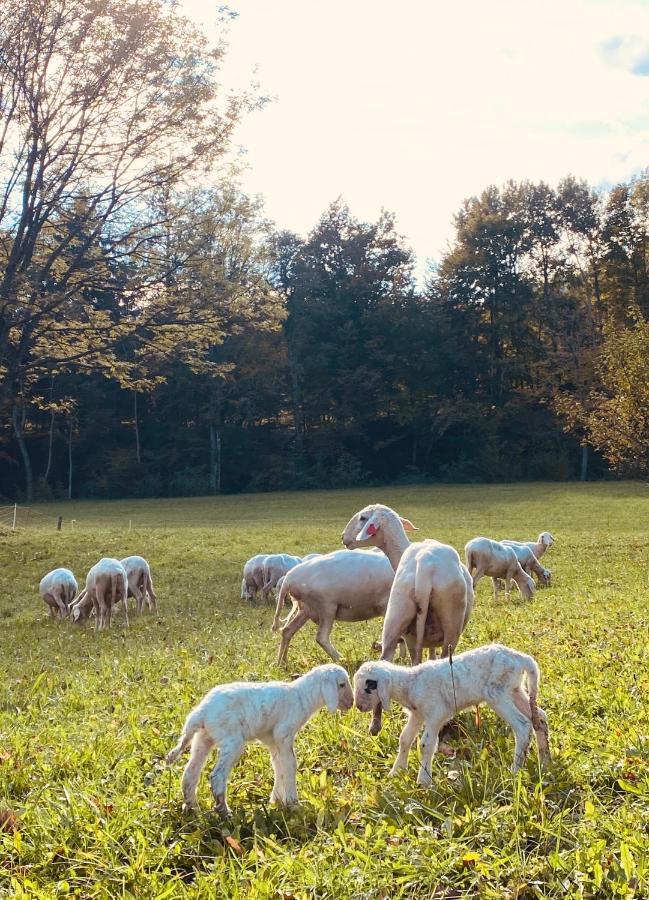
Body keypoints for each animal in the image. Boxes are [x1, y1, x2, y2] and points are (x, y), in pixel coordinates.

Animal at [165, 660, 352, 816]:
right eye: (342, 684)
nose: (351, 704)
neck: (302, 695)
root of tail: (202, 711)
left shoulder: (273, 741)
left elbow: (279, 766)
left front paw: (276, 800)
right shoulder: (284, 733)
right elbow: (290, 765)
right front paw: (293, 804)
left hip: (203, 738)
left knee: (190, 774)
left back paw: (193, 808)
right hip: (232, 740)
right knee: (217, 776)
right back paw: (224, 812)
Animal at [352, 644, 548, 784]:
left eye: (369, 685)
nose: (359, 706)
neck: (410, 683)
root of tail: (521, 659)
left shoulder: (435, 714)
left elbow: (426, 744)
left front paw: (423, 781)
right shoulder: (418, 715)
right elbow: (405, 739)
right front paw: (396, 772)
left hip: (497, 693)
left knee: (523, 725)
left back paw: (515, 771)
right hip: (515, 690)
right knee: (539, 717)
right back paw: (545, 760)